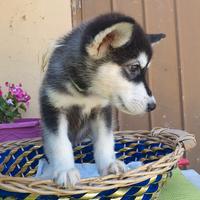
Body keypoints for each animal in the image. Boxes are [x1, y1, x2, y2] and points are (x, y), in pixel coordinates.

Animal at [39, 12, 165, 188]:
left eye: (145, 70)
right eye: (133, 67)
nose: (152, 105)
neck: (85, 93)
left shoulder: (102, 111)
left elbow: (104, 141)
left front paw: (109, 164)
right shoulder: (53, 109)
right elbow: (60, 143)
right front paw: (65, 170)